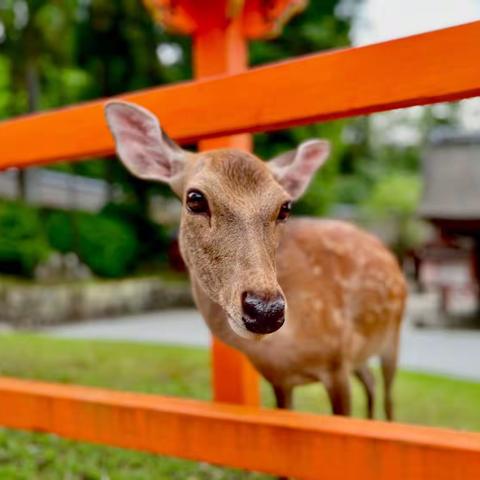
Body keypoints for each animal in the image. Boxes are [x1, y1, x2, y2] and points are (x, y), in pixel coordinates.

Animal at [104, 99, 404, 418]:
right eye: (195, 198)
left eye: (285, 207)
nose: (265, 310)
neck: (284, 350)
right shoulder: (280, 378)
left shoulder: (337, 361)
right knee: (370, 381)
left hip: (392, 334)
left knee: (387, 392)